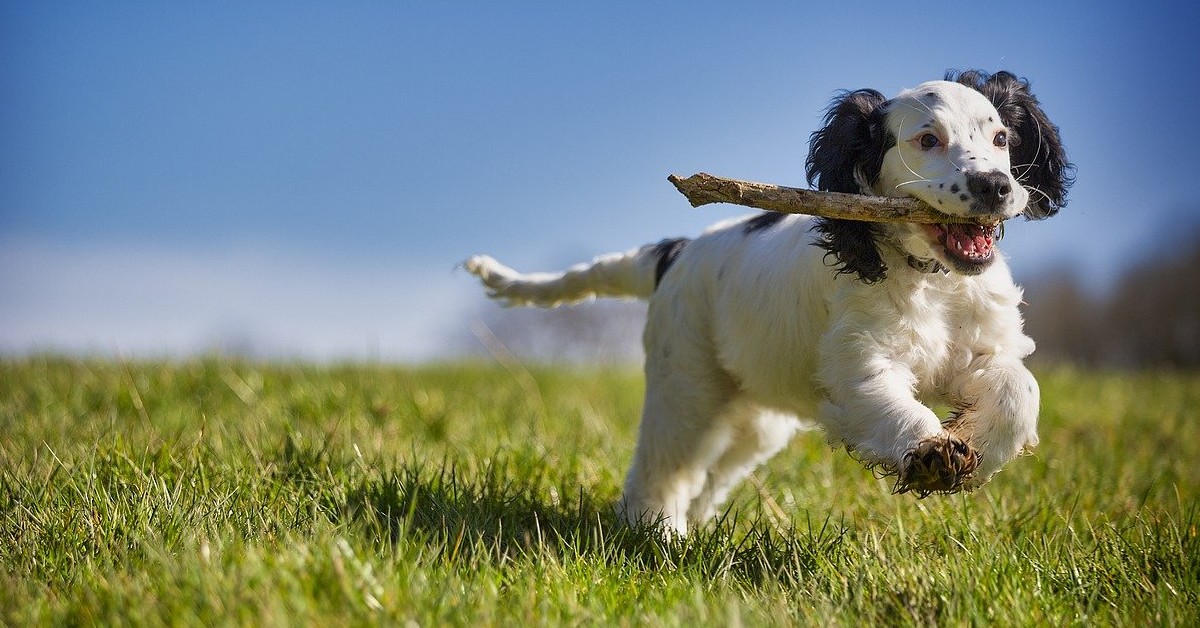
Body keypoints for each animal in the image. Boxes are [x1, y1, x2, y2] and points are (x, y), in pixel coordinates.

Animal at [463, 69, 1075, 535]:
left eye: (1001, 139)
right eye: (927, 140)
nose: (997, 187)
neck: (931, 279)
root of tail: (676, 251)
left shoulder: (985, 348)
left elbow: (1019, 391)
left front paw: (975, 448)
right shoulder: (858, 363)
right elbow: (892, 404)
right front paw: (930, 453)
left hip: (755, 420)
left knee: (710, 475)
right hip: (687, 386)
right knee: (662, 467)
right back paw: (657, 533)